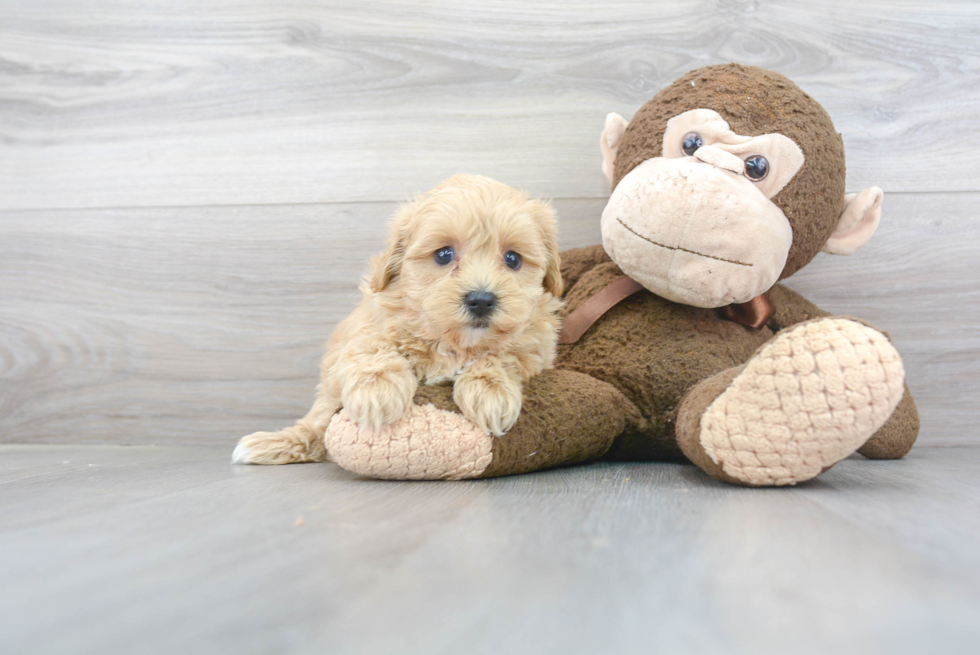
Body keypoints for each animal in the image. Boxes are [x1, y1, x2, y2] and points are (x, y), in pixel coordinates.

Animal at [233, 172, 564, 464]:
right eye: (443, 254)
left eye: (513, 259)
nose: (481, 300)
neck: (452, 342)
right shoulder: (368, 323)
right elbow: (372, 346)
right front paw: (377, 393)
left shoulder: (537, 347)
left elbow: (504, 354)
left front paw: (490, 391)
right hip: (327, 392)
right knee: (317, 421)